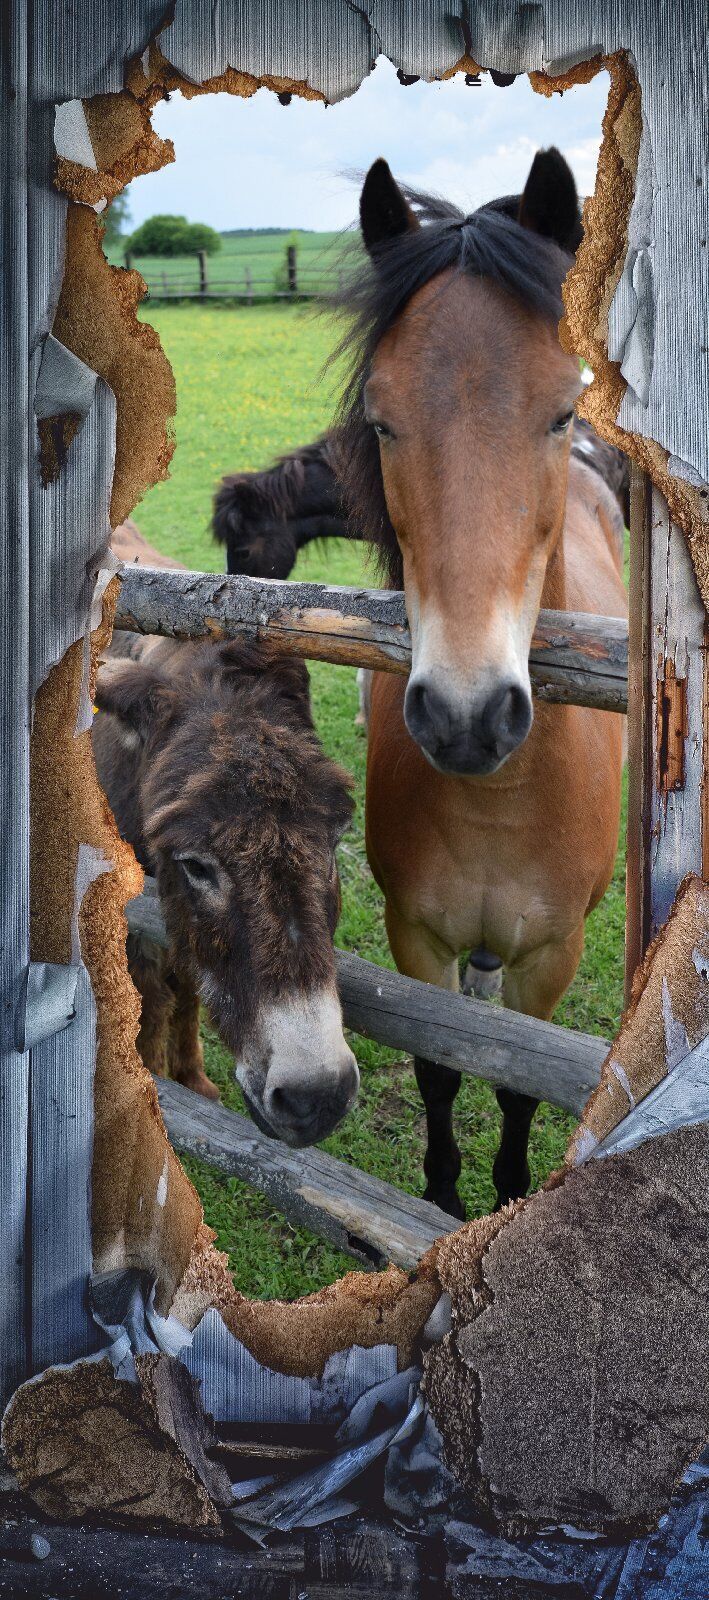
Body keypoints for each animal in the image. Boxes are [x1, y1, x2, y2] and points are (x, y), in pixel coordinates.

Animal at [92, 630, 360, 1145]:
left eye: (335, 840)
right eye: (195, 864)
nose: (316, 1098)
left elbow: (188, 989)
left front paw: (193, 1079)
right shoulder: (134, 927)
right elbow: (151, 1003)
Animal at [336, 156, 630, 1216]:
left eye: (559, 410)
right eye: (382, 421)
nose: (466, 717)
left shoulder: (552, 958)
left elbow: (514, 1081)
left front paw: (503, 1202)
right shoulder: (414, 935)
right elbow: (439, 1065)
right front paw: (439, 1199)